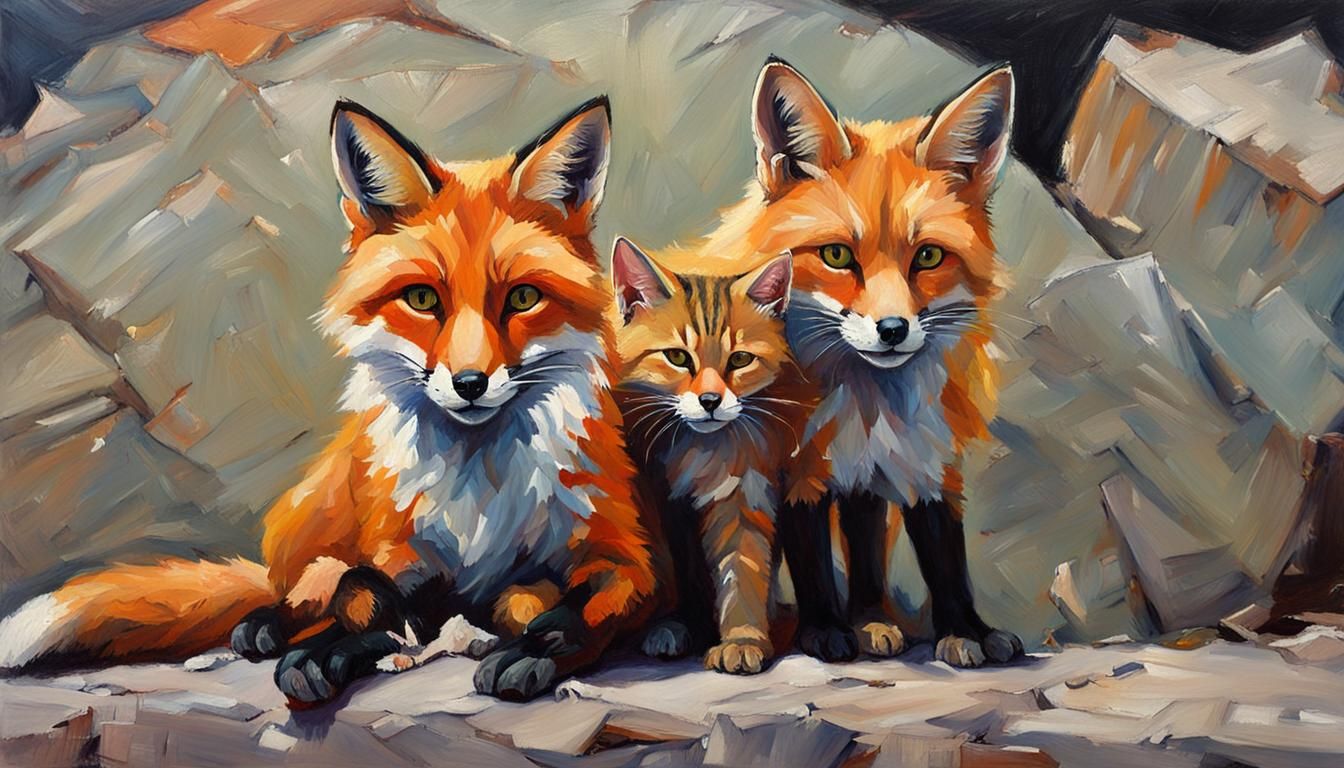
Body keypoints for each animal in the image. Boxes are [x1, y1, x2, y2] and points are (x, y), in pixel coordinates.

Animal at [0, 97, 666, 703]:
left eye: (523, 298)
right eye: (423, 299)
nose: (470, 383)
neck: (481, 495)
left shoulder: (626, 556)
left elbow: (572, 609)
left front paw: (532, 648)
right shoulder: (403, 555)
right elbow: (363, 599)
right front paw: (330, 650)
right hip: (317, 518)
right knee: (301, 590)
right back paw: (268, 628)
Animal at [609, 238, 818, 674]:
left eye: (739, 359)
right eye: (677, 357)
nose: (709, 400)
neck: (699, 452)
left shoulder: (745, 493)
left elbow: (743, 570)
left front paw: (742, 638)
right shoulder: (663, 504)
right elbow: (682, 573)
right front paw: (680, 624)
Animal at [696, 59, 1024, 667]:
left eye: (928, 256)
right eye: (837, 255)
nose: (893, 330)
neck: (870, 405)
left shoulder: (923, 459)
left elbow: (942, 555)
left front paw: (963, 630)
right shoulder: (795, 467)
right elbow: (810, 559)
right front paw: (826, 630)